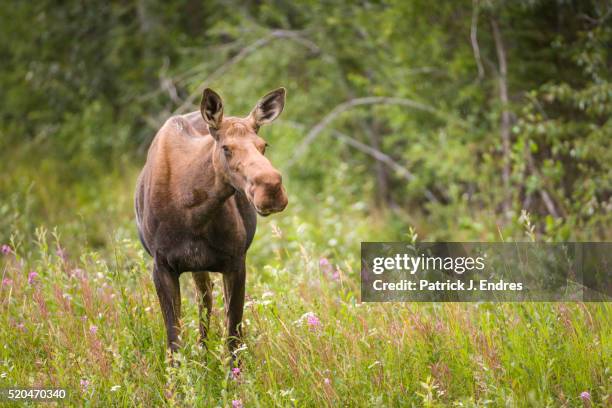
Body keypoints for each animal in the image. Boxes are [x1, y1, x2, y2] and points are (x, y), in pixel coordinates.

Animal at [135, 87, 288, 362]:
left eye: (263, 145)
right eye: (226, 148)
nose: (271, 189)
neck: (194, 215)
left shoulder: (236, 261)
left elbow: (233, 337)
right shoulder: (161, 266)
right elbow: (174, 343)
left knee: (206, 301)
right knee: (203, 300)